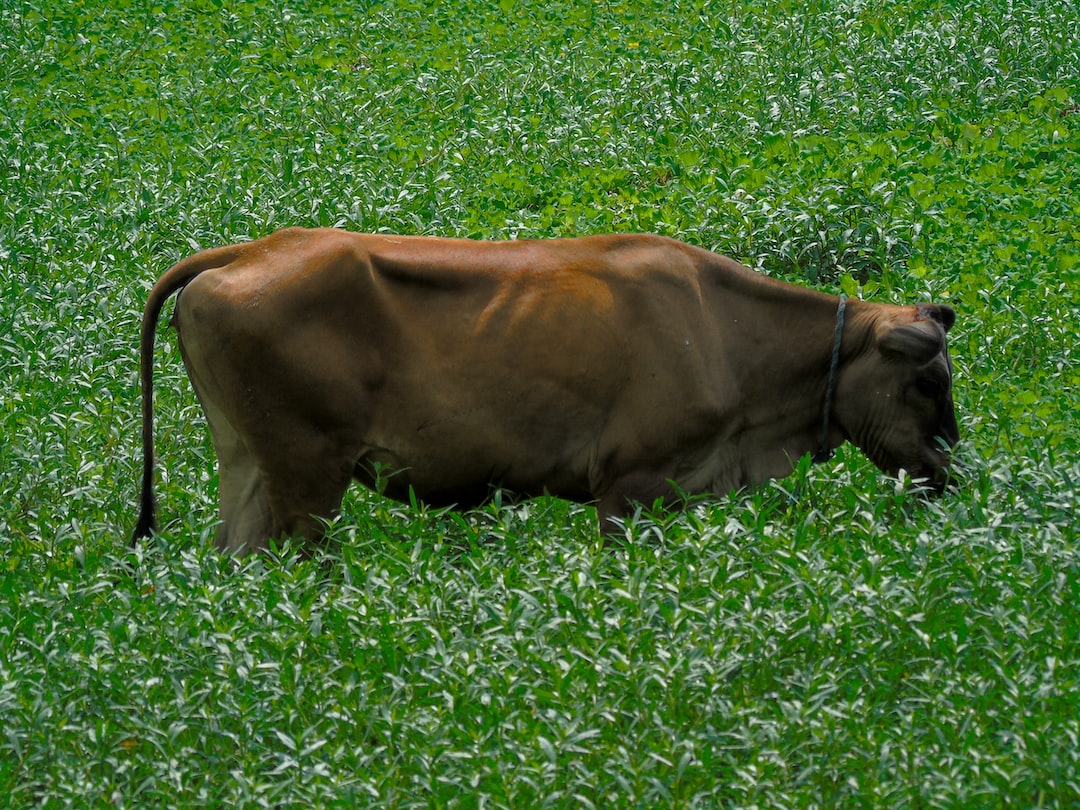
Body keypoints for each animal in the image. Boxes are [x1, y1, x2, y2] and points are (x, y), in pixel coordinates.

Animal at [132, 230, 954, 557]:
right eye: (926, 380)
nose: (949, 470)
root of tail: (254, 248)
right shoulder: (630, 486)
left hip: (246, 463)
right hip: (307, 473)